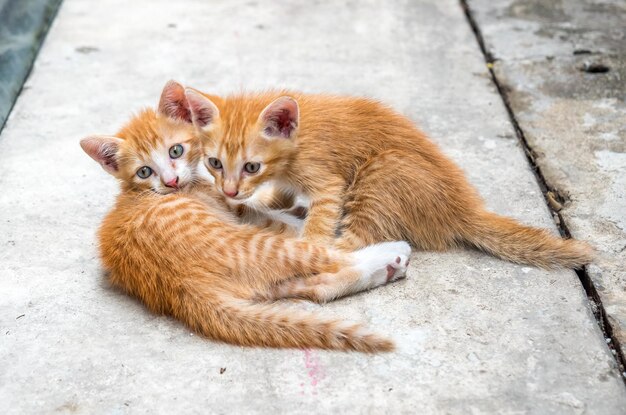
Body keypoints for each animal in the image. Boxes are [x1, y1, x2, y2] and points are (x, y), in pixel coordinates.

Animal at [79, 96, 410, 352]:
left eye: (175, 150)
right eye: (145, 171)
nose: (171, 182)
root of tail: (181, 287)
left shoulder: (233, 203)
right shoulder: (233, 208)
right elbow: (280, 220)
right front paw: (298, 216)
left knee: (312, 287)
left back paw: (384, 268)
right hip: (258, 246)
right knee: (322, 254)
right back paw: (388, 253)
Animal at [161, 81, 588, 270]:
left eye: (252, 166)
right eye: (215, 163)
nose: (231, 191)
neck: (296, 143)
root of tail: (461, 208)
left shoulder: (328, 179)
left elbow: (322, 213)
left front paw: (308, 237)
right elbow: (284, 193)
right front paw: (271, 200)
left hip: (383, 170)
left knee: (357, 238)